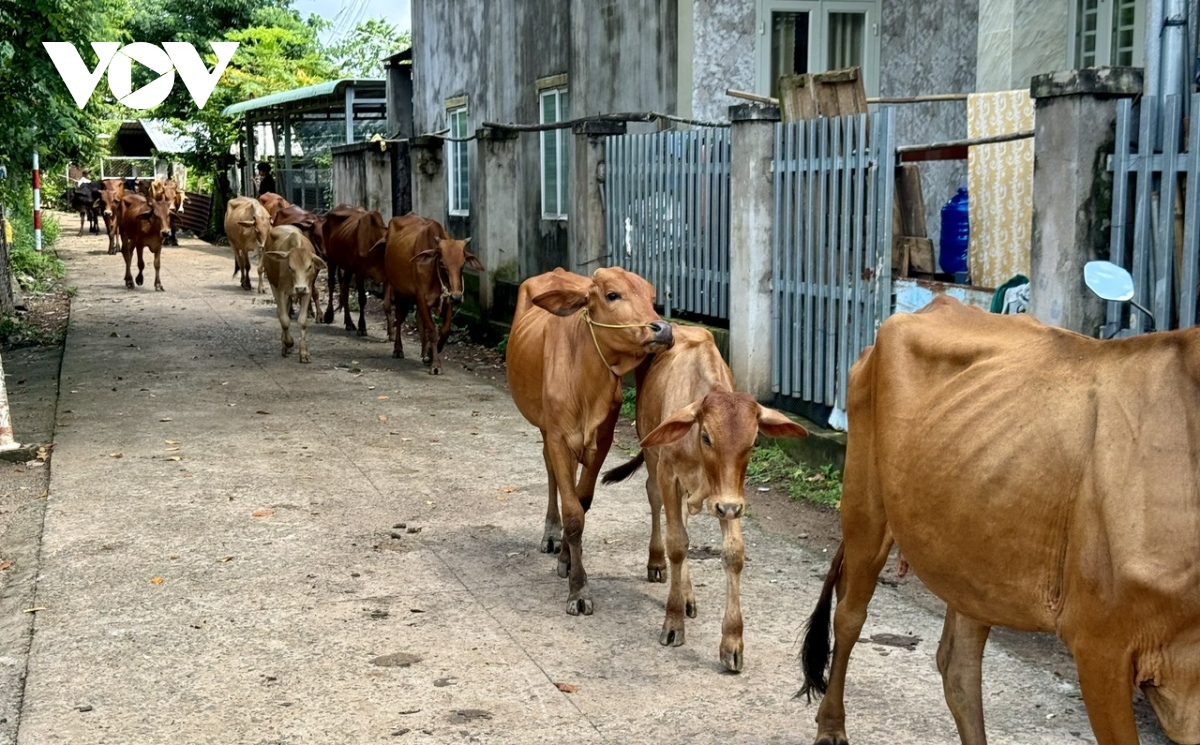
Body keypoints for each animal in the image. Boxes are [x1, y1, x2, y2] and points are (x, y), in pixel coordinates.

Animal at [262, 226, 326, 367]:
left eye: (309, 266)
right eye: (290, 267)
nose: (300, 288)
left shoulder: (307, 292)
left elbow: (302, 321)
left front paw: (304, 353)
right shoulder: (281, 292)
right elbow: (284, 320)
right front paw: (288, 342)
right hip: (273, 284)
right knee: (281, 312)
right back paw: (284, 345)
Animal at [379, 213, 482, 376]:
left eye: (462, 265)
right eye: (442, 264)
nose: (457, 297)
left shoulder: (447, 299)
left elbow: (445, 330)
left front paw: (430, 353)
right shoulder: (421, 297)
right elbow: (433, 331)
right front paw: (436, 364)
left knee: (418, 319)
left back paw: (424, 352)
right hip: (399, 290)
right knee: (400, 318)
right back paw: (398, 349)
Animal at [504, 267, 676, 614]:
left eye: (652, 297)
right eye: (612, 295)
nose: (662, 328)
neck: (586, 381)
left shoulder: (603, 441)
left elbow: (581, 503)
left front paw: (569, 560)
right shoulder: (558, 437)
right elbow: (572, 514)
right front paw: (578, 590)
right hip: (544, 428)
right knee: (551, 472)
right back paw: (551, 534)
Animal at [604, 321, 811, 671]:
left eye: (752, 442)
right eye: (706, 436)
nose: (726, 507)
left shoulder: (730, 495)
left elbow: (733, 553)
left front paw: (732, 642)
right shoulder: (669, 475)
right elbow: (677, 544)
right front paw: (673, 622)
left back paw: (688, 594)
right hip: (653, 459)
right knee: (656, 503)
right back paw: (657, 563)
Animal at [796, 293, 1200, 739]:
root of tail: (938, 304)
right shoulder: (1100, 646)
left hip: (971, 549)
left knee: (958, 666)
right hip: (865, 505)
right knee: (850, 614)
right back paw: (831, 726)